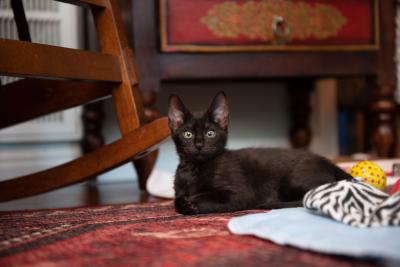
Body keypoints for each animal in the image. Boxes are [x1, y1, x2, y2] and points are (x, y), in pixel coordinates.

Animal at [168, 92, 350, 216]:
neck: (195, 169)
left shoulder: (240, 194)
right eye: (187, 134)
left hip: (293, 181)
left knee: (312, 198)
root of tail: (329, 162)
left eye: (210, 133)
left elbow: (206, 195)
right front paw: (185, 202)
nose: (199, 145)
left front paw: (192, 203)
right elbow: (177, 199)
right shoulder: (179, 191)